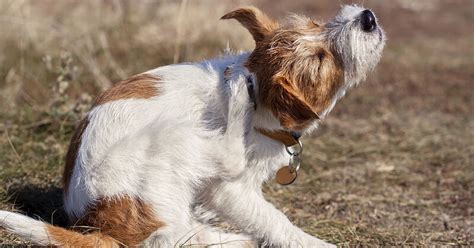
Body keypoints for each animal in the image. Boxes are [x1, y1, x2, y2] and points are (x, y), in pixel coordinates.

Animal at [0, 4, 386, 247]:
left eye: (315, 25)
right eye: (321, 60)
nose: (367, 17)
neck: (262, 99)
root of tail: (101, 224)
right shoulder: (231, 190)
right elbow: (274, 219)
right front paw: (312, 242)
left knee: (178, 234)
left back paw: (232, 239)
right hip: (174, 135)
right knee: (170, 234)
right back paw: (236, 97)